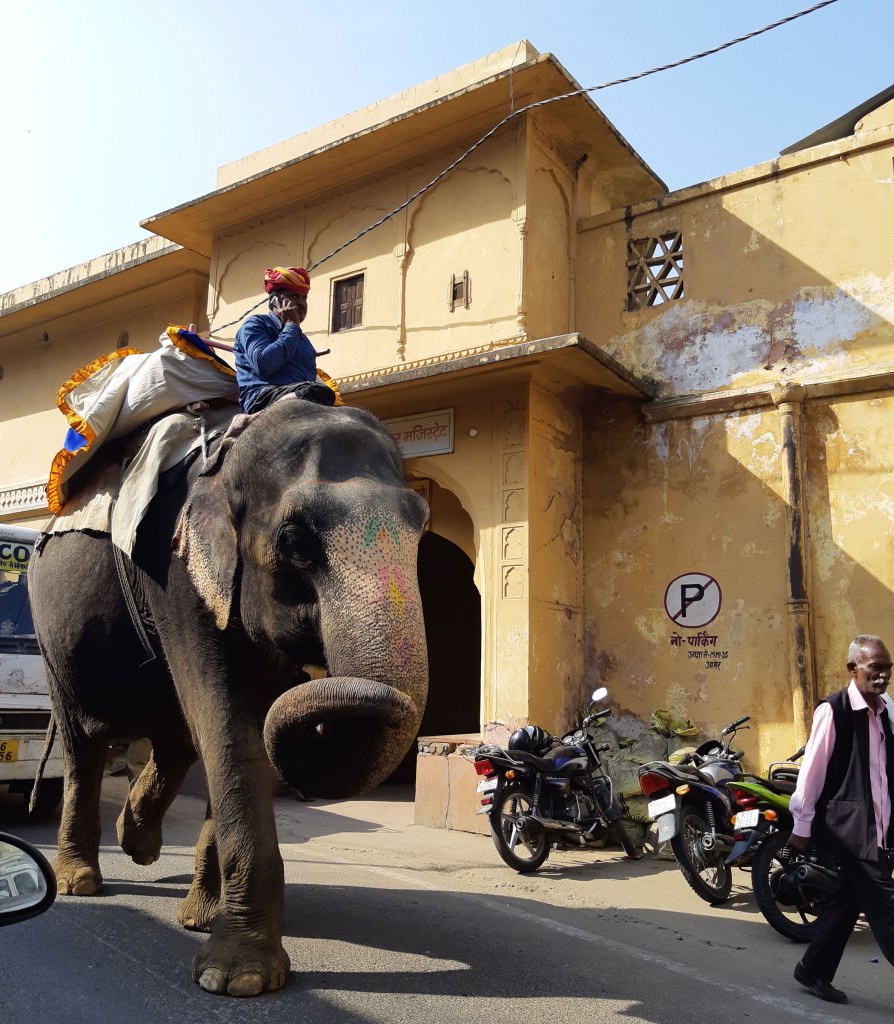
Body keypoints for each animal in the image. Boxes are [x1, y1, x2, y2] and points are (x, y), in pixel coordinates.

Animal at [28, 398, 429, 996]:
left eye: (423, 524)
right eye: (295, 541)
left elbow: (239, 729)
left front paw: (207, 931)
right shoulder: (175, 573)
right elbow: (229, 724)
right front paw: (237, 979)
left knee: (175, 739)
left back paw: (140, 845)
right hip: (50, 637)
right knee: (85, 745)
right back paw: (79, 882)